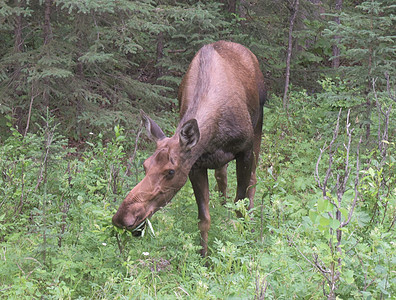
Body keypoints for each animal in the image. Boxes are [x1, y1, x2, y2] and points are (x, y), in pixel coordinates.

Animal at [112, 39, 266, 255]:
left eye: (170, 171)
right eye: (145, 165)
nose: (123, 217)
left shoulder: (244, 151)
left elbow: (240, 204)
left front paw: (245, 242)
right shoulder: (195, 165)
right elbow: (203, 219)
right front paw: (204, 256)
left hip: (258, 125)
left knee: (252, 179)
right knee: (222, 176)